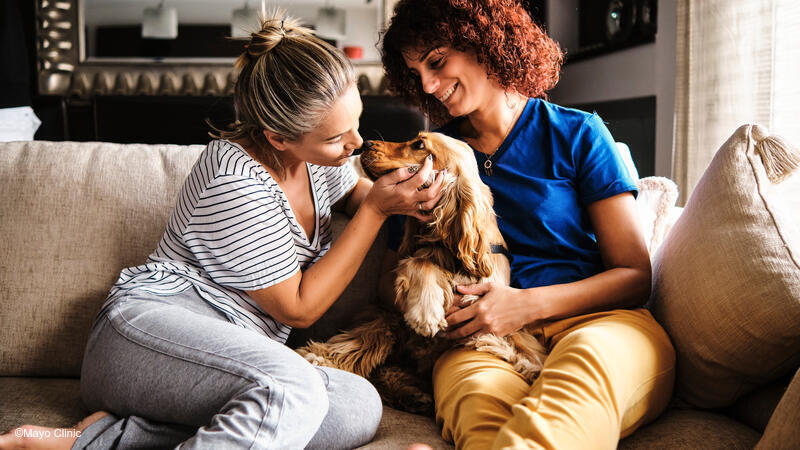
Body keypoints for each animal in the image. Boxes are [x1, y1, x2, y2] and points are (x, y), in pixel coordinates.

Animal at [296, 131, 548, 414]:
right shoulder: (397, 293)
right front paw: (426, 313)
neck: (448, 245)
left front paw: (532, 366)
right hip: (385, 319)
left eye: (419, 144)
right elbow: (420, 263)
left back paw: (414, 396)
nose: (367, 143)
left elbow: (522, 345)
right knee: (365, 342)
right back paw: (321, 356)